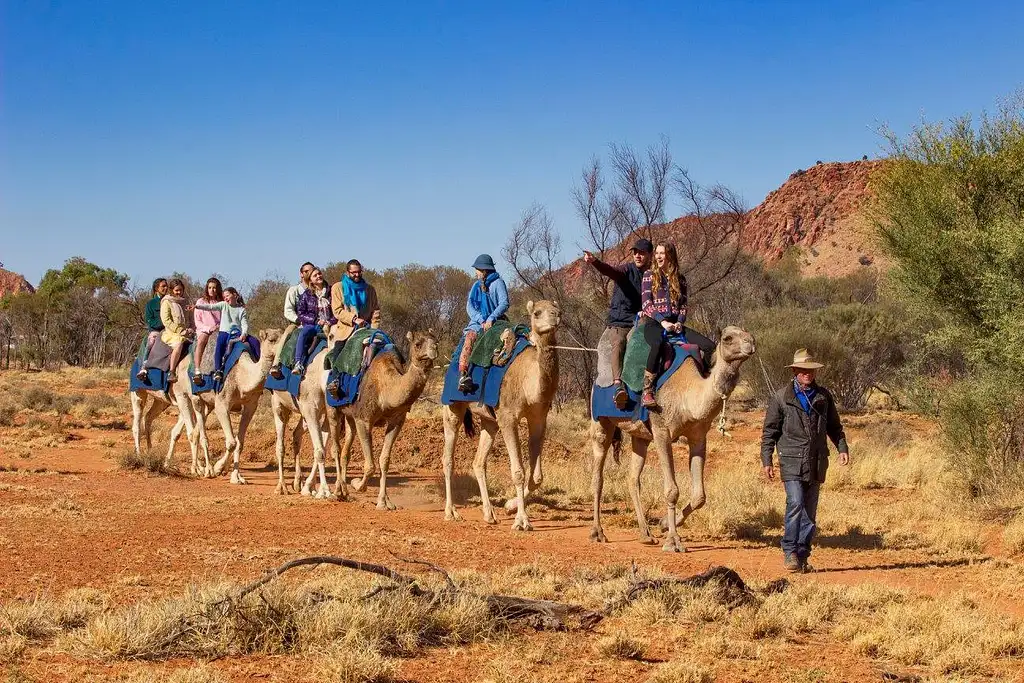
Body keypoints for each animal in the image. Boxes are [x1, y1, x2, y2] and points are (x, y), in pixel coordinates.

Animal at [329, 327, 438, 509]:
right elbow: (370, 465)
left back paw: (343, 491)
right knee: (335, 448)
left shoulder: (396, 421)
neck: (386, 389)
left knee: (346, 449)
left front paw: (384, 502)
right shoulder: (364, 420)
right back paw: (338, 491)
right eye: (418, 343)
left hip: (350, 416)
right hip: (333, 408)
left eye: (435, 340)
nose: (434, 349)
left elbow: (384, 460)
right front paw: (357, 484)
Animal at [438, 301, 561, 532]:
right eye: (537, 312)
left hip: (489, 421)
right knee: (448, 457)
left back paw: (489, 514)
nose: (556, 316)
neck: (528, 379)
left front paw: (510, 506)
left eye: (557, 309)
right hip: (452, 407)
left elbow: (537, 477)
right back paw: (451, 512)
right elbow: (519, 472)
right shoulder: (507, 416)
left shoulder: (539, 417)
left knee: (478, 462)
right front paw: (522, 521)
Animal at [589, 323, 757, 552]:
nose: (751, 343)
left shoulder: (698, 437)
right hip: (601, 422)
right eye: (728, 338)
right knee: (598, 474)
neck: (688, 396)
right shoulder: (662, 432)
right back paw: (598, 533)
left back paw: (646, 535)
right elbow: (671, 490)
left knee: (633, 478)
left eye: (748, 334)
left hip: (640, 436)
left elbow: (699, 496)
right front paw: (673, 541)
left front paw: (663, 524)